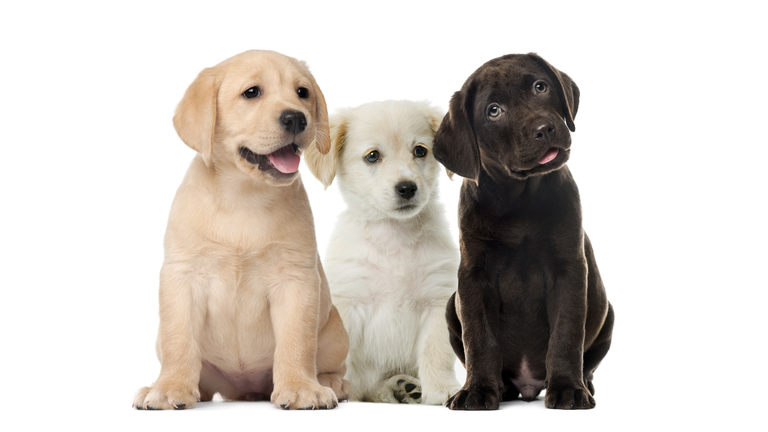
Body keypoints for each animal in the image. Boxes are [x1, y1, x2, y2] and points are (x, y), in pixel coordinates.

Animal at [134, 50, 350, 412]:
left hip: (335, 329)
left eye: (302, 92)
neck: (243, 196)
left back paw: (331, 382)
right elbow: (179, 340)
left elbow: (296, 341)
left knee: (332, 363)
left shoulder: (296, 280)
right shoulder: (182, 276)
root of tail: (246, 390)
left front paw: (301, 387)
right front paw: (169, 387)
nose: (296, 119)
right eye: (251, 93)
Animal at [304, 99, 462, 404]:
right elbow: (341, 358)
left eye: (420, 151)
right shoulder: (348, 303)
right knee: (367, 389)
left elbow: (436, 352)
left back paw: (405, 387)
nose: (407, 188)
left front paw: (443, 389)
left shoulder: (436, 302)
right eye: (373, 156)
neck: (394, 236)